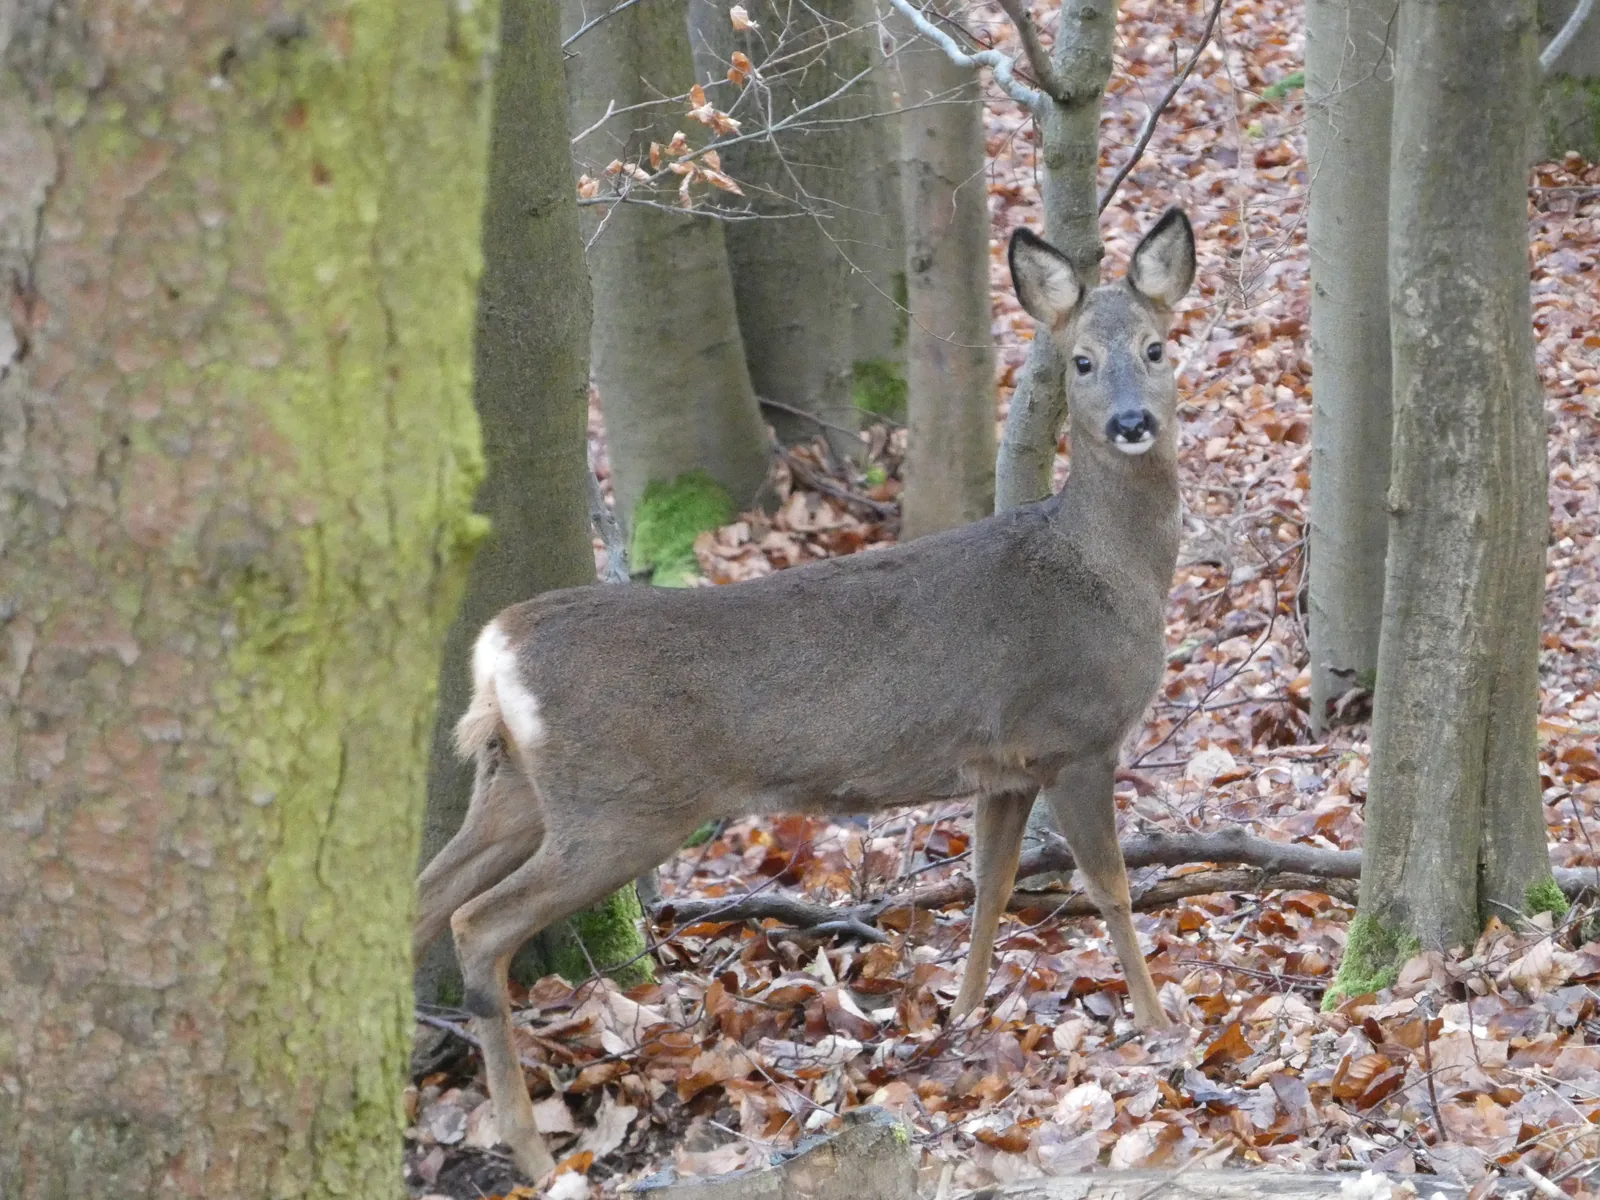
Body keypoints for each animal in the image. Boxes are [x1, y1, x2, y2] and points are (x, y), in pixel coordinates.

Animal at [413, 207, 1197, 1180]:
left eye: (1158, 347)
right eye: (1082, 361)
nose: (1131, 422)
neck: (1111, 573)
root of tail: (498, 650)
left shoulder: (1006, 764)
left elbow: (990, 886)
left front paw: (963, 1016)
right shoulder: (1078, 736)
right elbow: (1112, 889)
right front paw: (1159, 1024)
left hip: (515, 786)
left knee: (417, 900)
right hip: (619, 805)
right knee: (477, 923)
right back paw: (526, 1145)